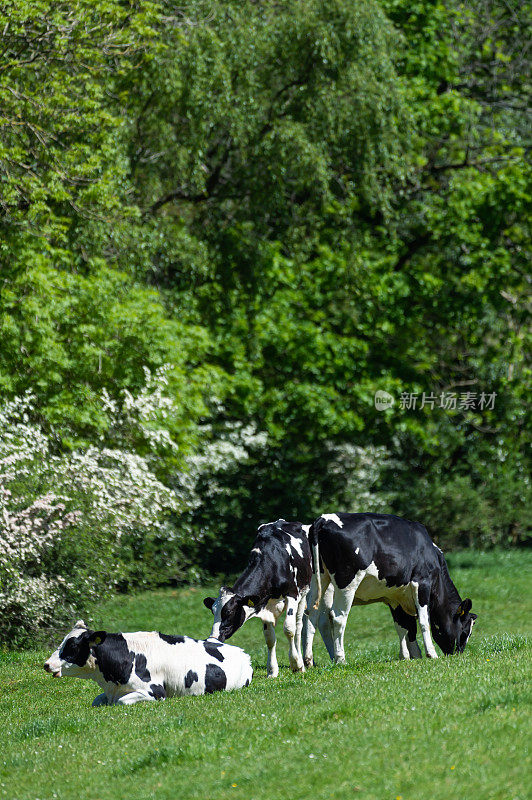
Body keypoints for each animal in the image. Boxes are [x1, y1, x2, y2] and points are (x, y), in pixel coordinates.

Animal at [44, 620, 254, 708]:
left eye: (72, 646)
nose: (46, 664)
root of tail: (244, 653)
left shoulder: (155, 691)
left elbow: (121, 702)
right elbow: (97, 701)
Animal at [202, 520, 314, 676]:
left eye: (229, 612)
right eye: (213, 611)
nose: (212, 639)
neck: (273, 562)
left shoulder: (292, 594)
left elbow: (289, 629)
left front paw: (296, 664)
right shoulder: (264, 604)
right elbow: (269, 637)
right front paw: (272, 671)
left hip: (303, 593)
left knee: (298, 627)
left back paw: (302, 662)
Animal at [304, 512, 478, 664]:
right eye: (464, 632)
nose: (458, 653)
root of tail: (324, 519)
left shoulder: (396, 598)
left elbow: (404, 627)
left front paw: (410, 656)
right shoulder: (421, 583)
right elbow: (423, 621)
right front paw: (430, 654)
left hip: (318, 580)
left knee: (312, 614)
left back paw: (309, 661)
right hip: (347, 583)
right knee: (337, 618)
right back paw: (340, 659)